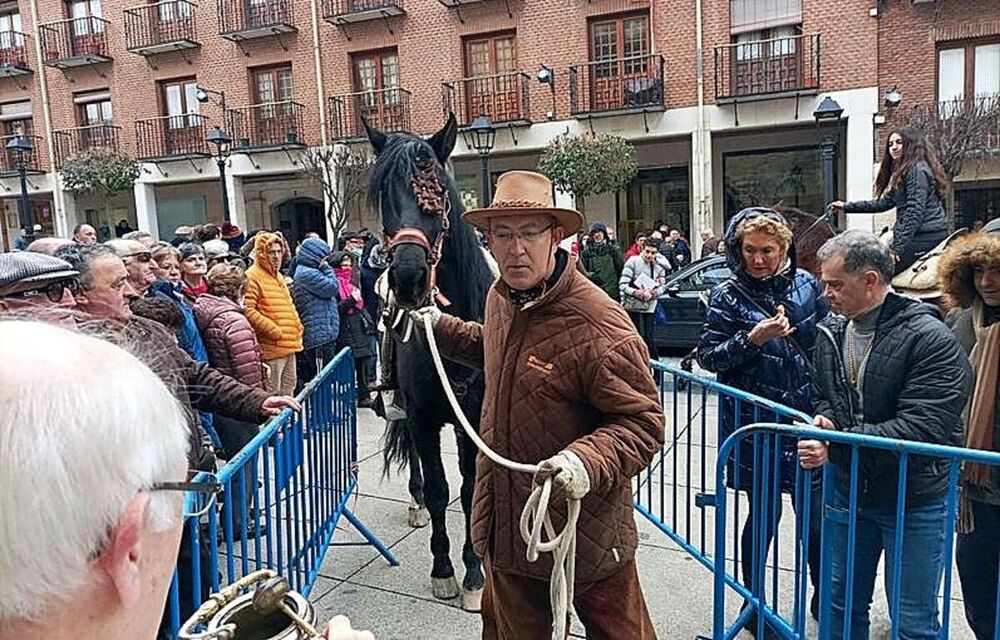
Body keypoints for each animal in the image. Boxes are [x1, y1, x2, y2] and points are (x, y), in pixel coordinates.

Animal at [366, 114, 494, 608]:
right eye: (383, 192)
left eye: (437, 190)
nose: (408, 277)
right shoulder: (422, 416)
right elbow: (441, 491)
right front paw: (445, 570)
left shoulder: (472, 418)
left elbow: (469, 487)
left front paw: (475, 572)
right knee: (422, 473)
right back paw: (416, 502)